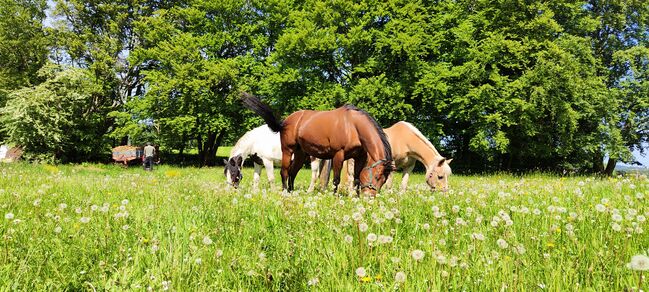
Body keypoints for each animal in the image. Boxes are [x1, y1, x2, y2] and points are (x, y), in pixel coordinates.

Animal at [242, 92, 392, 195]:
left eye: (384, 180)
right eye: (377, 176)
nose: (370, 197)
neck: (353, 126)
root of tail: (284, 122)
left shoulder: (360, 157)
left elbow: (356, 178)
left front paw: (356, 197)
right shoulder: (338, 155)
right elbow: (336, 179)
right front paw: (335, 196)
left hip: (300, 154)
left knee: (292, 172)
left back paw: (291, 192)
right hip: (287, 151)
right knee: (284, 172)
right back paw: (285, 192)